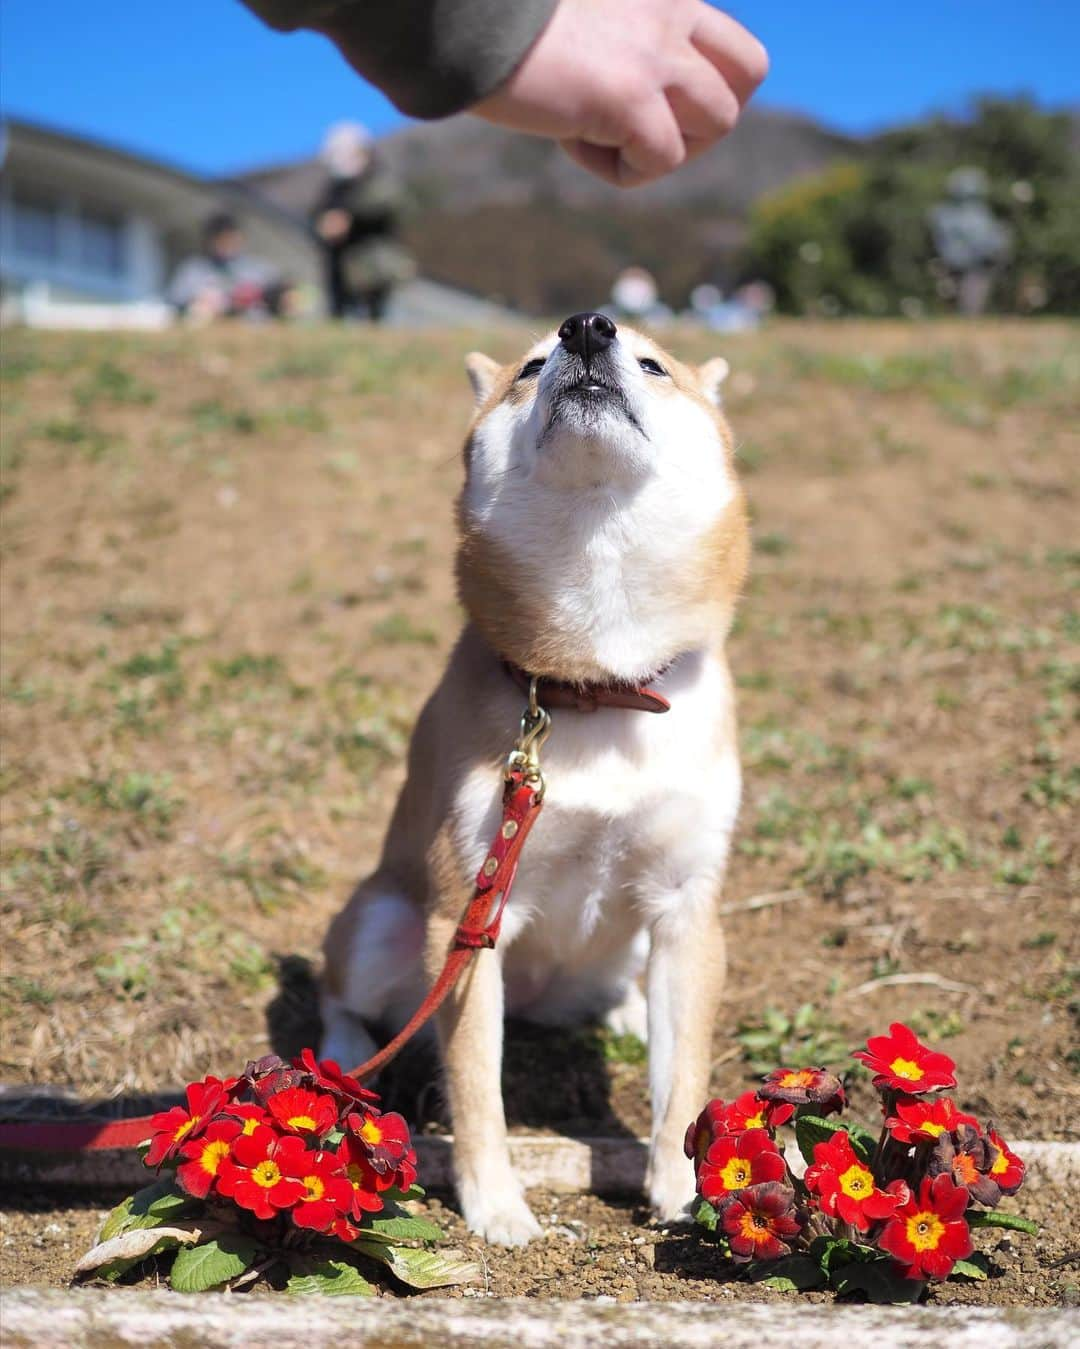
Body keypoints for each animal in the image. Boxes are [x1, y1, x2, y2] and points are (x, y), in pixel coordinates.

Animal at [315, 312, 744, 1241]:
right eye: (531, 365)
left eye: (654, 363)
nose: (587, 326)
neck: (599, 681)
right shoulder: (470, 915)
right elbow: (478, 1089)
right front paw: (495, 1204)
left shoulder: (686, 904)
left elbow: (684, 1078)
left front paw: (681, 1187)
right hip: (383, 923)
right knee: (343, 995)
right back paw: (342, 1052)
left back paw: (623, 1010)